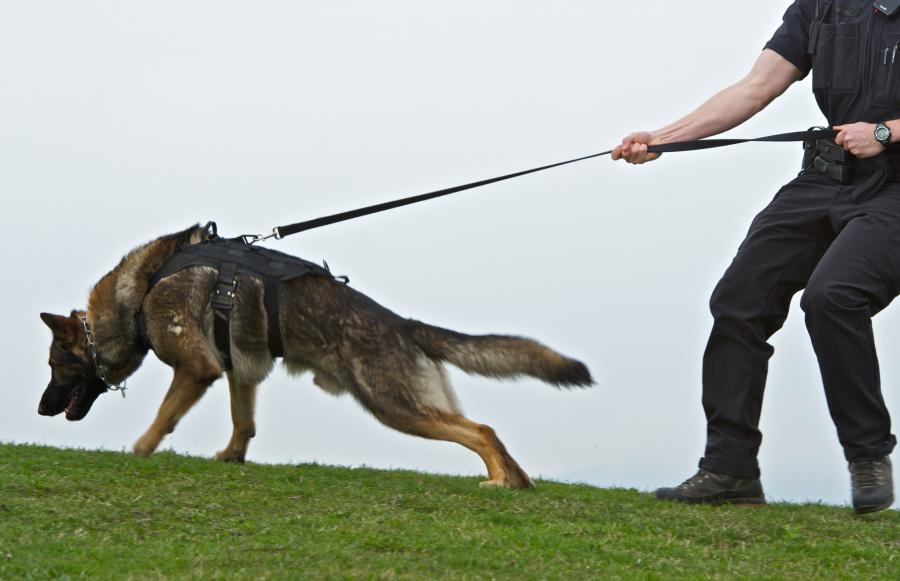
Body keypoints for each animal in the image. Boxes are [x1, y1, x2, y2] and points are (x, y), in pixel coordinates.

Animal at [38, 224, 596, 488]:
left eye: (54, 365)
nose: (41, 409)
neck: (144, 288)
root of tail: (404, 326)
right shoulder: (240, 370)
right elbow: (244, 424)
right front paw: (231, 458)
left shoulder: (197, 369)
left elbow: (160, 420)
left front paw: (137, 451)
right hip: (409, 404)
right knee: (484, 433)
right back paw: (517, 480)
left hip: (395, 407)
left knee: (481, 430)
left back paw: (500, 480)